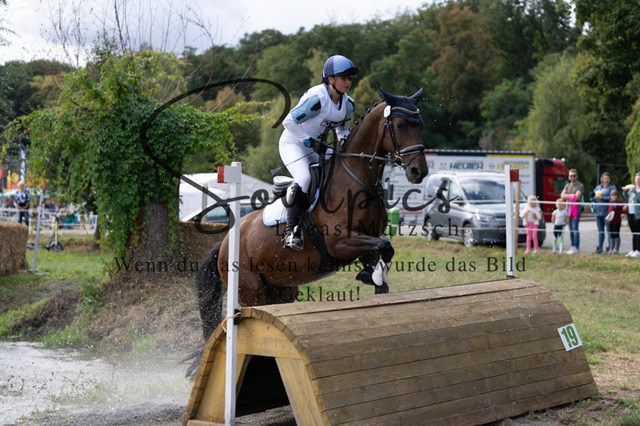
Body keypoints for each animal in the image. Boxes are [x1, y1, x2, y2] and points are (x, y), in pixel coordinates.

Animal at [195, 87, 428, 343]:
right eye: (400, 125)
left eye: (421, 125)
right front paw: (372, 275)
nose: (419, 171)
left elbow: (384, 252)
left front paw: (373, 276)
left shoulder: (368, 242)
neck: (357, 181)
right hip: (251, 290)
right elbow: (385, 246)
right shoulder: (339, 242)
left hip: (281, 289)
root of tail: (225, 243)